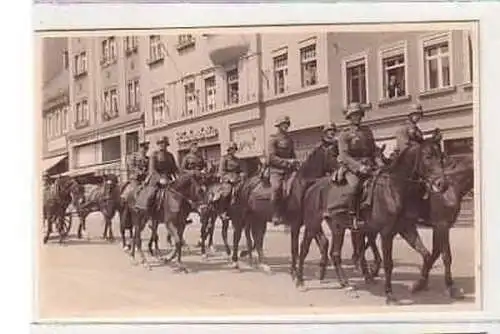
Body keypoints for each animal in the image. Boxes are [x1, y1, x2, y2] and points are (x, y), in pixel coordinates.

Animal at [230, 144, 340, 272]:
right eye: (333, 155)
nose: (341, 170)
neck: (302, 187)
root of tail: (244, 183)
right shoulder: (295, 224)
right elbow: (295, 248)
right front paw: (294, 271)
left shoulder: (312, 223)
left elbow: (321, 244)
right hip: (242, 215)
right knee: (237, 236)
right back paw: (236, 262)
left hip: (258, 218)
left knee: (257, 238)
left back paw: (263, 264)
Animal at [296, 138, 446, 302]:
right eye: (428, 157)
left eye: (441, 157)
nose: (441, 184)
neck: (393, 189)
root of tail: (313, 186)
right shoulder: (386, 233)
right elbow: (388, 263)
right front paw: (389, 294)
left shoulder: (407, 229)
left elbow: (426, 255)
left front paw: (418, 284)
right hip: (312, 225)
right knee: (304, 249)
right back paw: (300, 282)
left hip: (337, 227)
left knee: (335, 254)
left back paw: (345, 284)